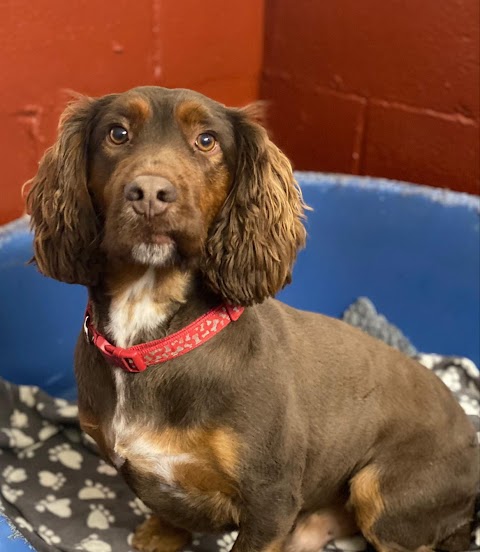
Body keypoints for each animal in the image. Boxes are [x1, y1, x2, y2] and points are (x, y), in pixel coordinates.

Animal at [27, 87, 480, 552]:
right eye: (117, 133)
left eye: (207, 141)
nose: (150, 192)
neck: (153, 337)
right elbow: (166, 514)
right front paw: (159, 534)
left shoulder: (270, 498)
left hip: (382, 492)